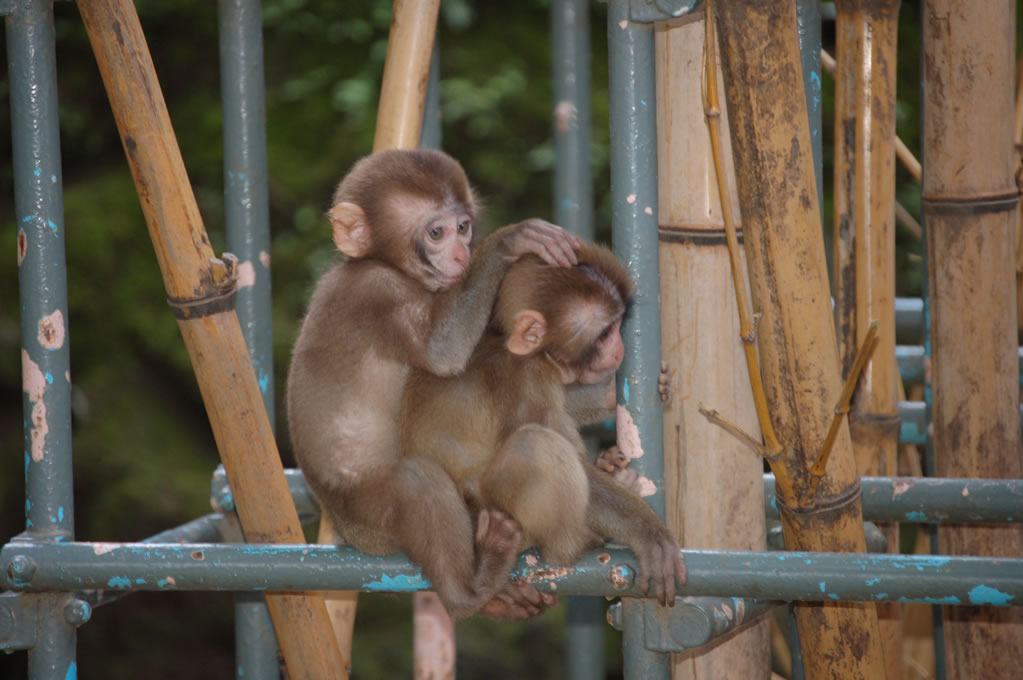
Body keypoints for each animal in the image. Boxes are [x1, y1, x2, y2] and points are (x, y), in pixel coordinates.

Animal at [286, 149, 580, 618]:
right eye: (437, 233)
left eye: (463, 228)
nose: (461, 255)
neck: (379, 263)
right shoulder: (379, 293)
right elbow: (442, 353)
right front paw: (509, 241)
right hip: (368, 516)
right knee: (416, 483)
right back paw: (472, 588)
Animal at [400, 242, 687, 607]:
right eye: (605, 333)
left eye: (619, 324)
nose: (620, 347)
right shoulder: (528, 377)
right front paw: (648, 533)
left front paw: (613, 391)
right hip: (500, 519)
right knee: (535, 444)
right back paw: (577, 544)